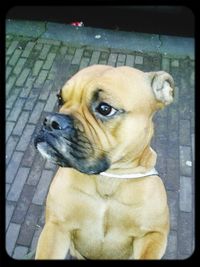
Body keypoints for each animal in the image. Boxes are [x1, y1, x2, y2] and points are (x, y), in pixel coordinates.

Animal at [34, 64, 173, 260]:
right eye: (60, 98)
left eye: (105, 108)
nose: (51, 121)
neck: (108, 177)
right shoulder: (56, 227)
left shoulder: (153, 234)